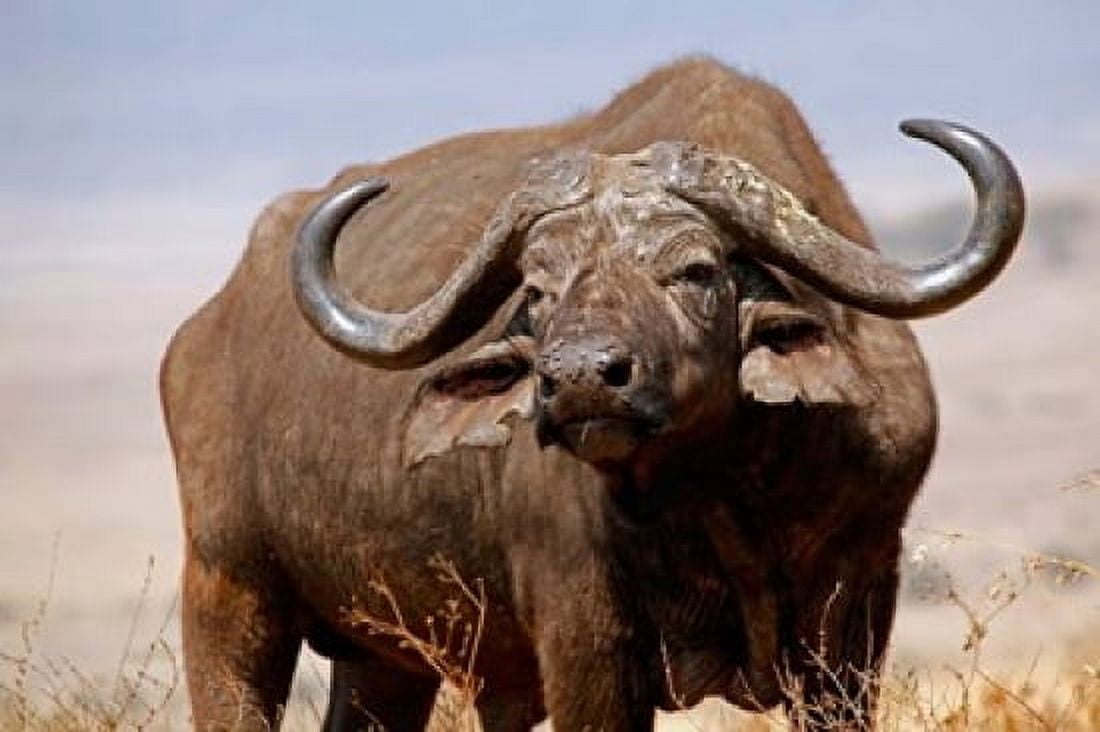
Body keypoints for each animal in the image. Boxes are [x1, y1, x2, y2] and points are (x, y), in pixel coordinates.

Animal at [161, 58, 1024, 731]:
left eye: (695, 270)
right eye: (538, 290)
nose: (578, 379)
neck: (720, 498)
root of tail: (204, 330)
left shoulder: (853, 619)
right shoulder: (587, 644)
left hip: (388, 655)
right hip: (228, 594)